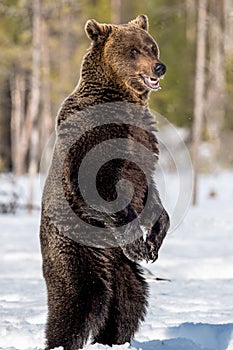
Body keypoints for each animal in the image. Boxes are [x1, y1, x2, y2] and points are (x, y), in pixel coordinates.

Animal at [40, 14, 169, 350]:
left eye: (151, 47)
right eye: (134, 51)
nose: (159, 67)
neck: (119, 96)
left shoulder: (144, 145)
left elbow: (150, 194)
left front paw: (153, 242)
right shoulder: (94, 141)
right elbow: (100, 187)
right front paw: (138, 245)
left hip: (121, 271)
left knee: (128, 302)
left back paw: (113, 339)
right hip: (76, 250)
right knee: (76, 301)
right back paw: (60, 340)